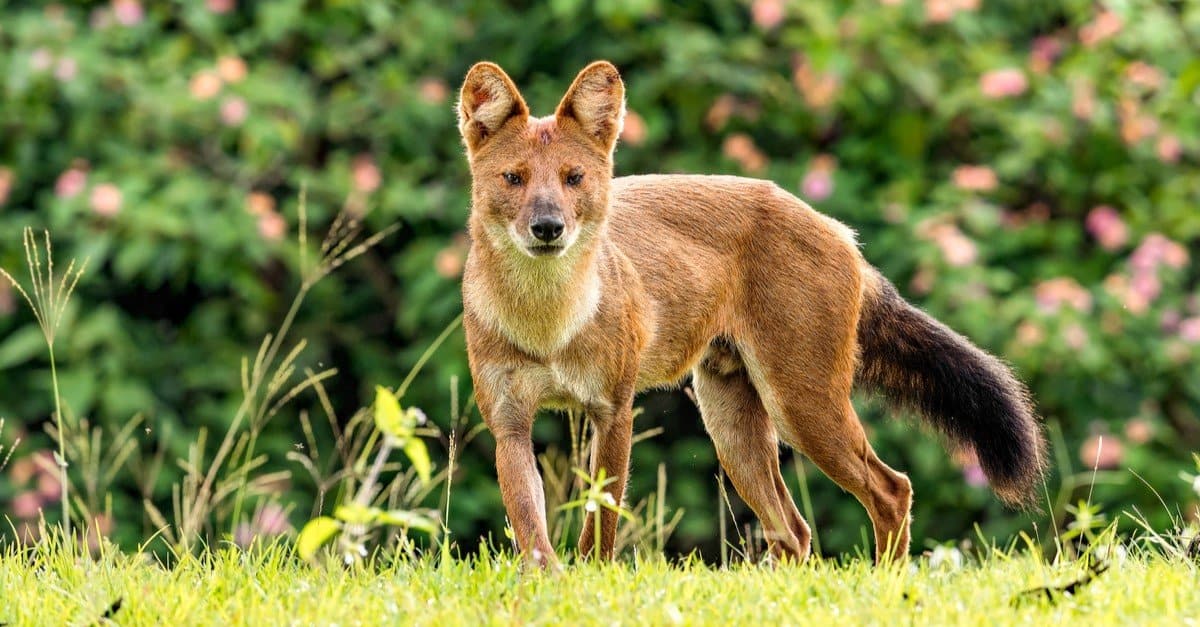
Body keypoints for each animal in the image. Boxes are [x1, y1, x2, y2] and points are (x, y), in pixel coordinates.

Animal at [453, 60, 1046, 564]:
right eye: (514, 178)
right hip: (731, 423)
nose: (548, 227)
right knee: (794, 531)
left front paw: (591, 581)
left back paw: (887, 583)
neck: (548, 324)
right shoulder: (508, 422)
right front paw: (545, 586)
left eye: (573, 178)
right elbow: (530, 529)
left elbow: (600, 525)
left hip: (802, 405)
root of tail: (838, 229)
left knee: (890, 489)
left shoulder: (612, 411)